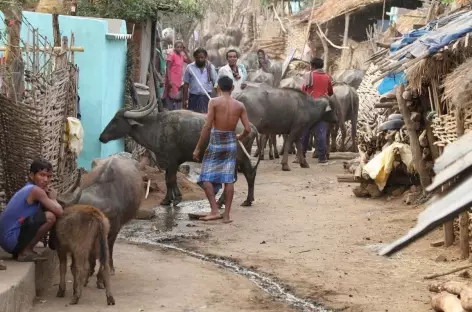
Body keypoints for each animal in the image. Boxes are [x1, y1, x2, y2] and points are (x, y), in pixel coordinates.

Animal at [100, 98, 262, 208]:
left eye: (116, 120)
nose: (102, 137)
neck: (157, 127)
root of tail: (251, 126)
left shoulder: (172, 160)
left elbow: (170, 180)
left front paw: (174, 199)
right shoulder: (168, 162)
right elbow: (169, 179)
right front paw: (169, 199)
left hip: (238, 158)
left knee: (241, 176)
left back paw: (227, 201)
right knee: (248, 175)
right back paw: (246, 200)